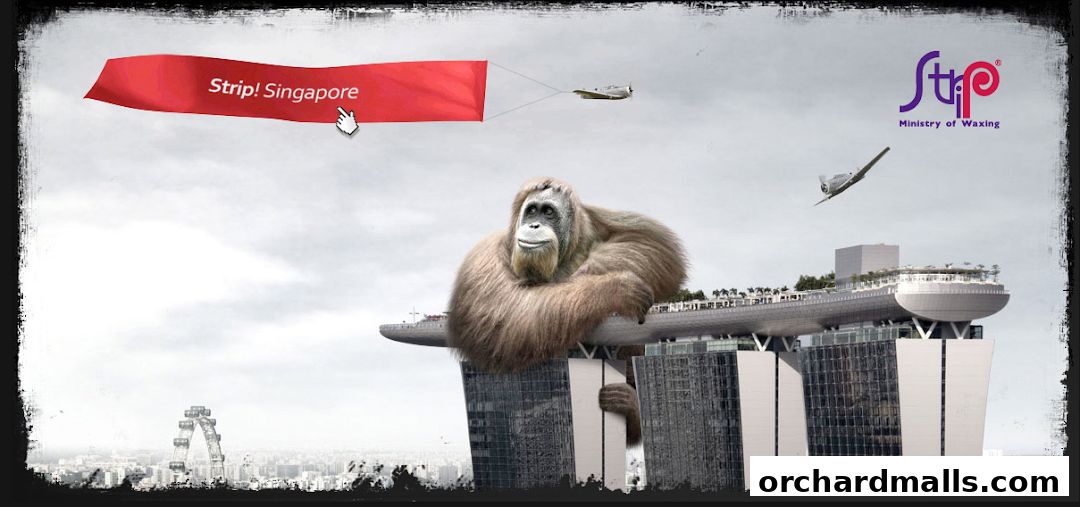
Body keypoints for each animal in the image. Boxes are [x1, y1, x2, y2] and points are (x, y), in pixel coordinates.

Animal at [446, 177, 687, 445]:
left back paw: (628, 405)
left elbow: (654, 242)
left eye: (548, 212)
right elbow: (500, 316)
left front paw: (588, 269)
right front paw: (616, 288)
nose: (534, 224)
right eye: (532, 210)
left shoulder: (598, 219)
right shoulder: (483, 259)